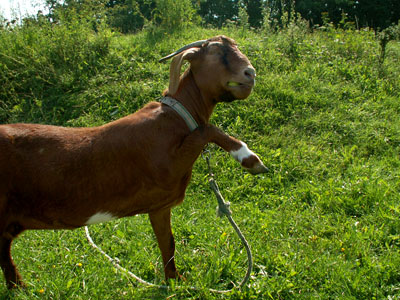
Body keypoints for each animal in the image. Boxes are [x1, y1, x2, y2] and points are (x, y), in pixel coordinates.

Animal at [0, 34, 268, 288]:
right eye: (213, 51)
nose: (250, 73)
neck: (176, 116)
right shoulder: (167, 167)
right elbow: (206, 130)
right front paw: (249, 158)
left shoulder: (160, 205)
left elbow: (168, 243)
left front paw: (175, 281)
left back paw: (20, 289)